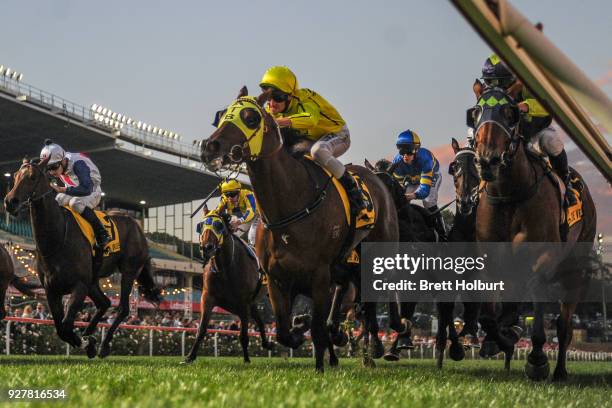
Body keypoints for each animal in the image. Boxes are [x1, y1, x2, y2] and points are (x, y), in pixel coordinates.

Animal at [4, 159, 163, 356]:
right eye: (16, 176)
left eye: (32, 177)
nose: (9, 201)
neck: (57, 238)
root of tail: (137, 227)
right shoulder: (52, 290)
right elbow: (60, 328)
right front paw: (87, 341)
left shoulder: (79, 286)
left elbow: (65, 325)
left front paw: (86, 342)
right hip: (93, 280)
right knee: (105, 303)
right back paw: (90, 334)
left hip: (128, 271)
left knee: (123, 308)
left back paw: (104, 344)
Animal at [183, 214, 274, 364]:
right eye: (200, 226)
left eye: (219, 226)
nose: (206, 247)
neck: (225, 267)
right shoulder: (208, 297)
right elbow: (201, 329)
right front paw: (190, 356)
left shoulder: (243, 303)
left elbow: (243, 335)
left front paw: (246, 360)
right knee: (260, 321)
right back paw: (267, 343)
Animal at [203, 87, 400, 372]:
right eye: (221, 115)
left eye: (250, 117)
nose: (210, 147)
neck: (291, 206)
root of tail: (379, 180)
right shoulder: (277, 280)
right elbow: (284, 331)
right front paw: (299, 330)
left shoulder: (319, 275)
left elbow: (317, 328)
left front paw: (320, 365)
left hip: (381, 250)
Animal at [468, 81, 596, 380]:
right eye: (476, 112)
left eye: (510, 112)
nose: (487, 160)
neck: (510, 193)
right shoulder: (491, 258)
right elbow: (489, 315)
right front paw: (500, 338)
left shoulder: (542, 255)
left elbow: (538, 295)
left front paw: (536, 358)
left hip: (575, 267)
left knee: (564, 324)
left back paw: (559, 370)